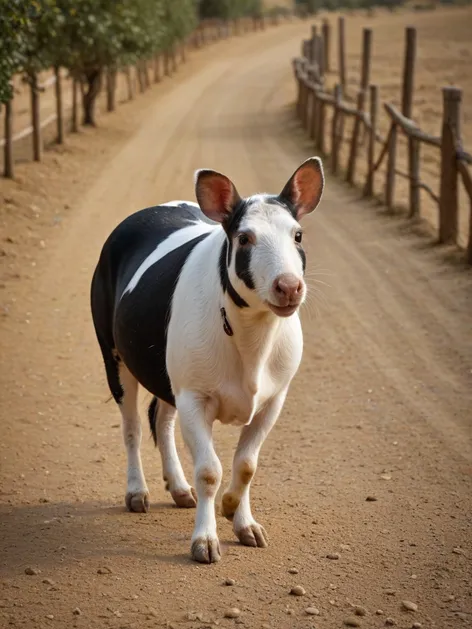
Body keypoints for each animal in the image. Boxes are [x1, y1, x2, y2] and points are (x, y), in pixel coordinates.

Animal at [90, 157, 322, 564]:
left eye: (297, 235)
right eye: (244, 239)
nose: (289, 286)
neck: (252, 335)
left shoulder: (273, 401)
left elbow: (246, 465)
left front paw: (239, 517)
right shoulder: (195, 398)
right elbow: (210, 471)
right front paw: (205, 539)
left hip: (170, 374)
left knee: (161, 418)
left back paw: (180, 488)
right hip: (115, 356)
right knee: (133, 427)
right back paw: (137, 492)